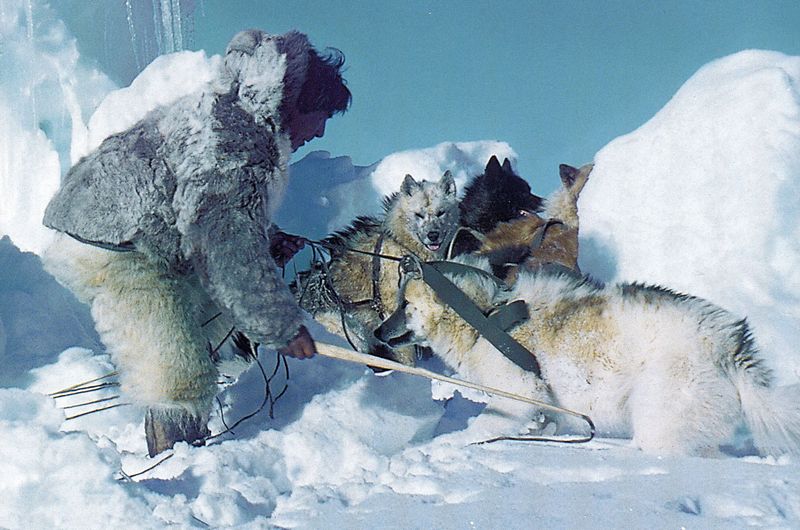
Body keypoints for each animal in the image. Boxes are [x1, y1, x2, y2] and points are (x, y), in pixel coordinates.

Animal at [378, 256, 800, 454]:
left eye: (405, 305)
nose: (378, 334)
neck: (484, 315)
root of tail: (728, 341)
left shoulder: (517, 395)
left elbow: (480, 429)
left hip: (660, 419)